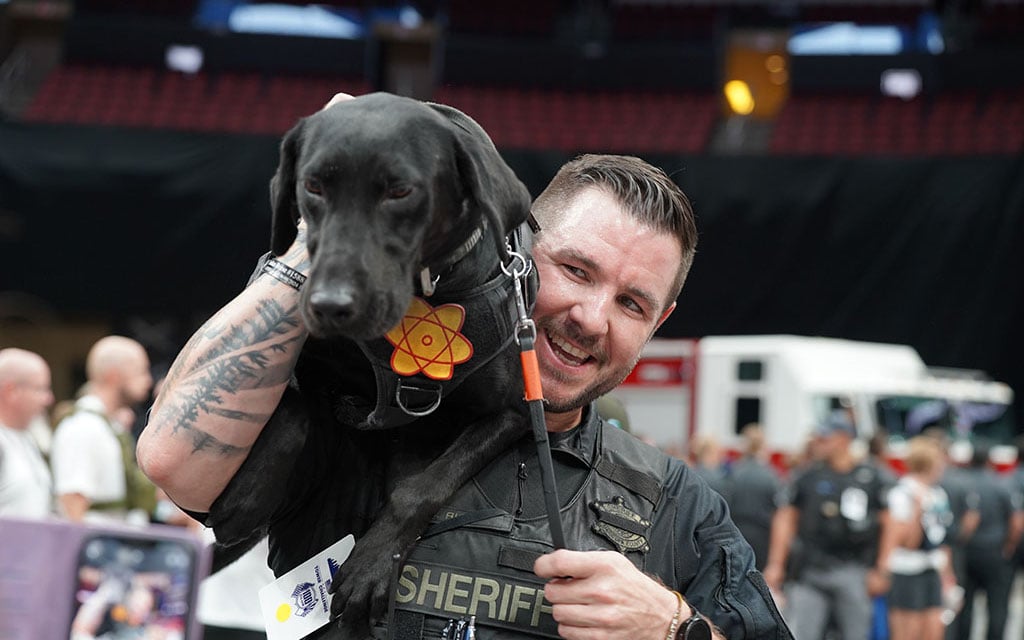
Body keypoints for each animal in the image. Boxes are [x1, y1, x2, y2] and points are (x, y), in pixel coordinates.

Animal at [211, 92, 540, 634]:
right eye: (313, 187)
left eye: (400, 191)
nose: (328, 305)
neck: (427, 294)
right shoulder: (303, 362)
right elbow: (292, 407)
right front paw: (246, 495)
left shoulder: (513, 412)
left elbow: (423, 487)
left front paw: (370, 564)